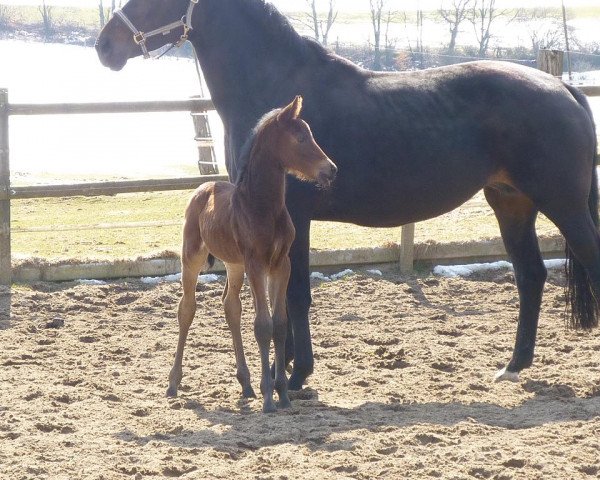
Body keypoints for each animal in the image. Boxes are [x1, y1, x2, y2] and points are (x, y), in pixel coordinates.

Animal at [166, 97, 338, 412]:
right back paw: (173, 383)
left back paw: (245, 384)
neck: (262, 208)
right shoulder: (256, 264)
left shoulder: (281, 264)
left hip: (234, 264)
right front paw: (269, 397)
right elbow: (262, 325)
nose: (330, 169)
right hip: (192, 257)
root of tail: (203, 187)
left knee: (230, 306)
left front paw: (282, 393)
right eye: (300, 137)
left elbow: (279, 324)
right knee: (187, 309)